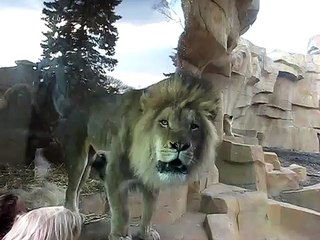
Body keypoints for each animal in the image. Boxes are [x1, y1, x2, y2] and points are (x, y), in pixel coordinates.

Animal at [58, 71, 220, 240]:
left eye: (194, 126)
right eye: (164, 122)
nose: (180, 146)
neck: (147, 159)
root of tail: (79, 105)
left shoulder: (152, 180)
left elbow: (150, 209)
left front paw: (146, 233)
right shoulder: (115, 175)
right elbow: (122, 211)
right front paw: (120, 236)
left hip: (88, 164)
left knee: (78, 188)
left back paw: (80, 215)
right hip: (79, 158)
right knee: (71, 188)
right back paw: (72, 214)